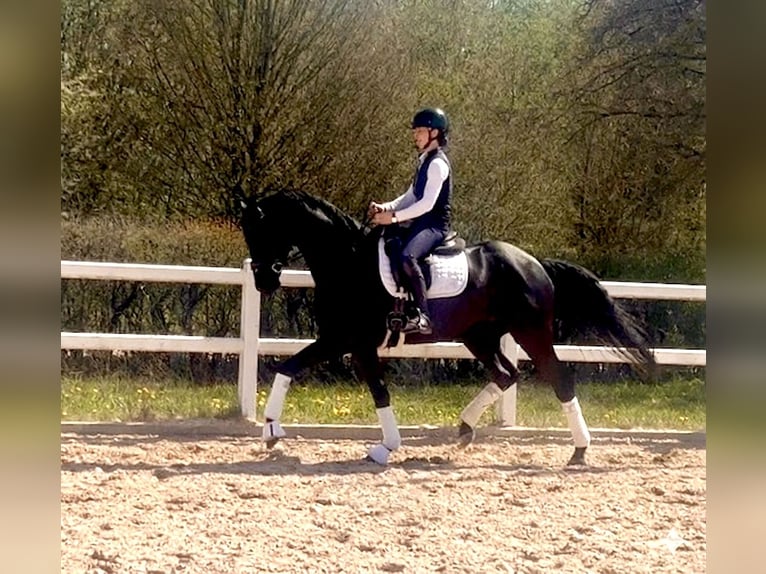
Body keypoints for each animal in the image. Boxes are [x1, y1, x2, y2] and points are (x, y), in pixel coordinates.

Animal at [239, 190, 655, 466]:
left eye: (260, 229)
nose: (263, 281)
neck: (348, 264)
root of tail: (534, 263)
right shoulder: (337, 340)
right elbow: (287, 367)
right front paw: (271, 431)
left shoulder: (352, 342)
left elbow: (378, 392)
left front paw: (385, 447)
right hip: (479, 336)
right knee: (506, 374)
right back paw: (465, 430)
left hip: (530, 333)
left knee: (559, 380)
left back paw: (580, 450)